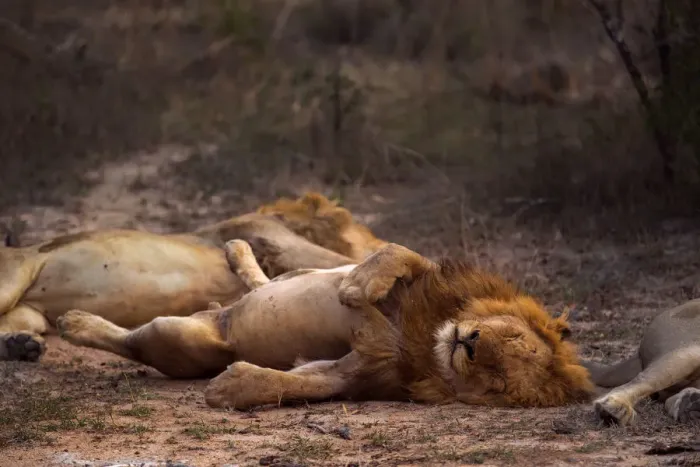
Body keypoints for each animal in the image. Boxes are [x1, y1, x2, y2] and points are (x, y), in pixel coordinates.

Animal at [0, 193, 384, 361]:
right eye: (365, 232)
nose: (377, 241)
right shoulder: (279, 241)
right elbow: (343, 260)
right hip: (15, 274)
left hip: (30, 312)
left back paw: (20, 346)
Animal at [56, 240, 594, 409]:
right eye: (508, 334)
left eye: (498, 379)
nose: (471, 342)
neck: (429, 341)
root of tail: (218, 318)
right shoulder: (428, 281)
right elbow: (397, 255)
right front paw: (356, 287)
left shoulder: (360, 371)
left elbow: (299, 383)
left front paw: (231, 388)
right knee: (264, 282)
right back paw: (239, 250)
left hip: (177, 337)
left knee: (131, 341)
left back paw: (74, 321)